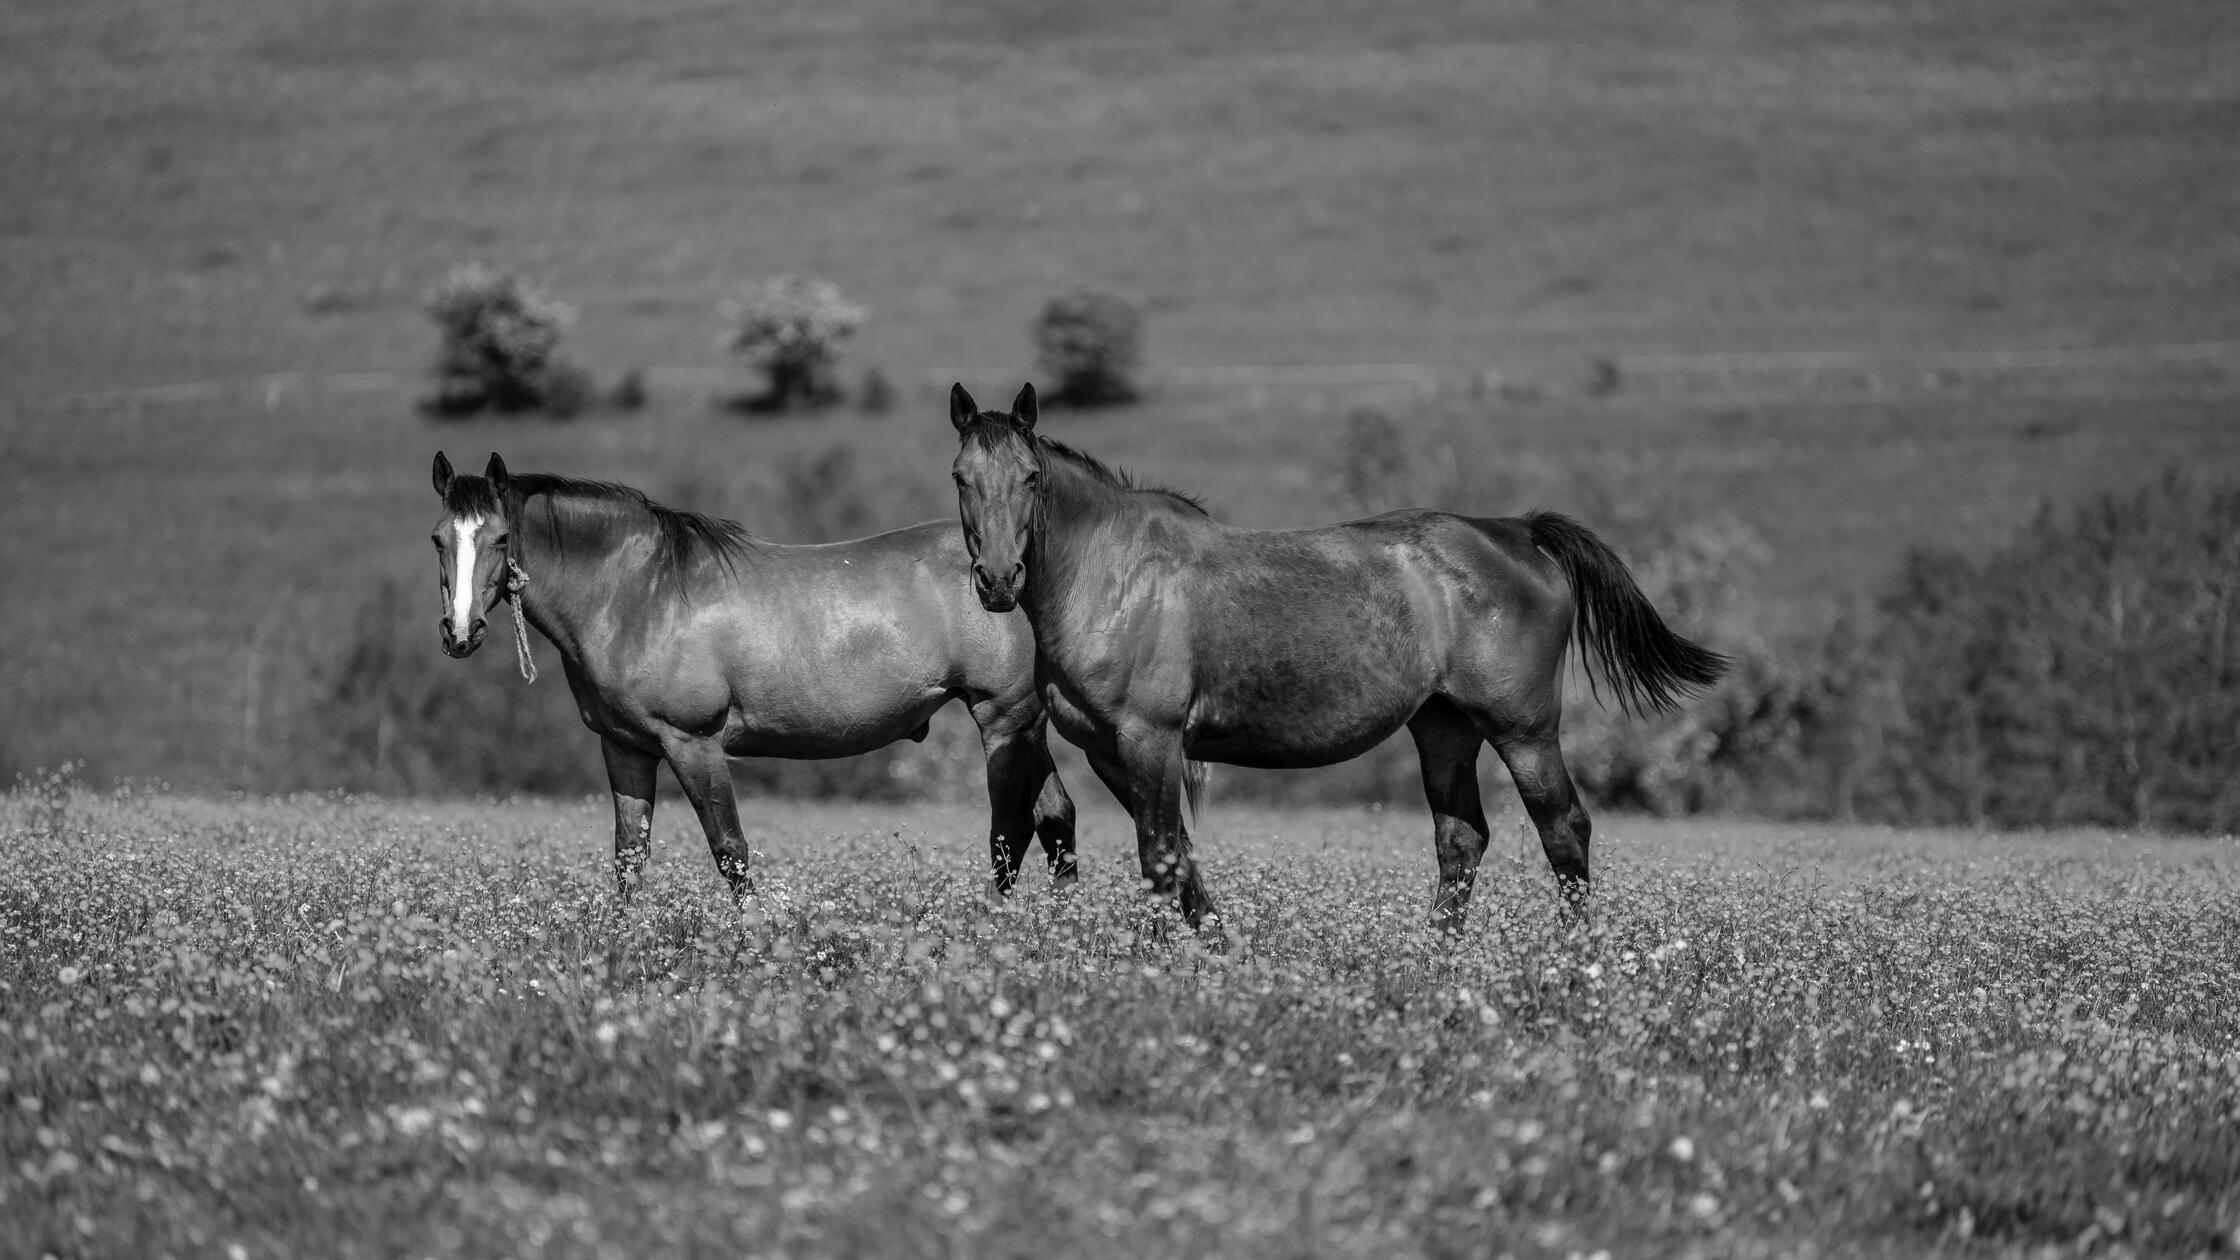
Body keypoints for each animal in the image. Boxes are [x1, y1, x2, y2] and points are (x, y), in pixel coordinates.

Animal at [428, 451, 1078, 901]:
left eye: (501, 538)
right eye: (437, 539)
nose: (460, 632)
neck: (638, 592)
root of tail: (1015, 571)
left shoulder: (693, 743)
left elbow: (730, 851)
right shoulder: (625, 748)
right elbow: (628, 858)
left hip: (1003, 720)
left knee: (1014, 831)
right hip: (1026, 726)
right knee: (1056, 820)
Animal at [944, 383, 1728, 931]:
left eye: (1030, 477)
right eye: (960, 476)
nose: (997, 580)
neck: (1115, 574)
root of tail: (1519, 533)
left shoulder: (1152, 741)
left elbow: (1160, 858)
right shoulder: (1110, 749)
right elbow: (1178, 858)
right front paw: (1217, 946)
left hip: (1523, 732)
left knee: (1564, 833)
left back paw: (1577, 961)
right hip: (1444, 728)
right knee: (1461, 839)